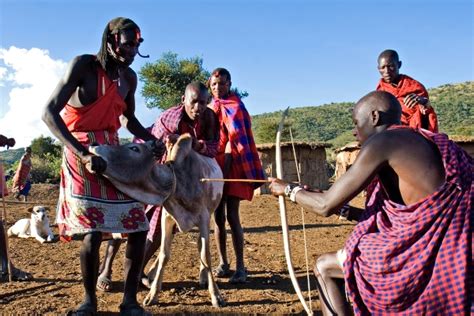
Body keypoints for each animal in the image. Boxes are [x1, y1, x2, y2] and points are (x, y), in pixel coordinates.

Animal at [91, 133, 227, 306]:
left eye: (134, 148)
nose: (94, 144)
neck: (178, 180)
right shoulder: (167, 218)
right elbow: (163, 255)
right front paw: (153, 293)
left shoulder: (203, 218)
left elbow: (205, 255)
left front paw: (216, 295)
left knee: (200, 247)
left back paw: (202, 277)